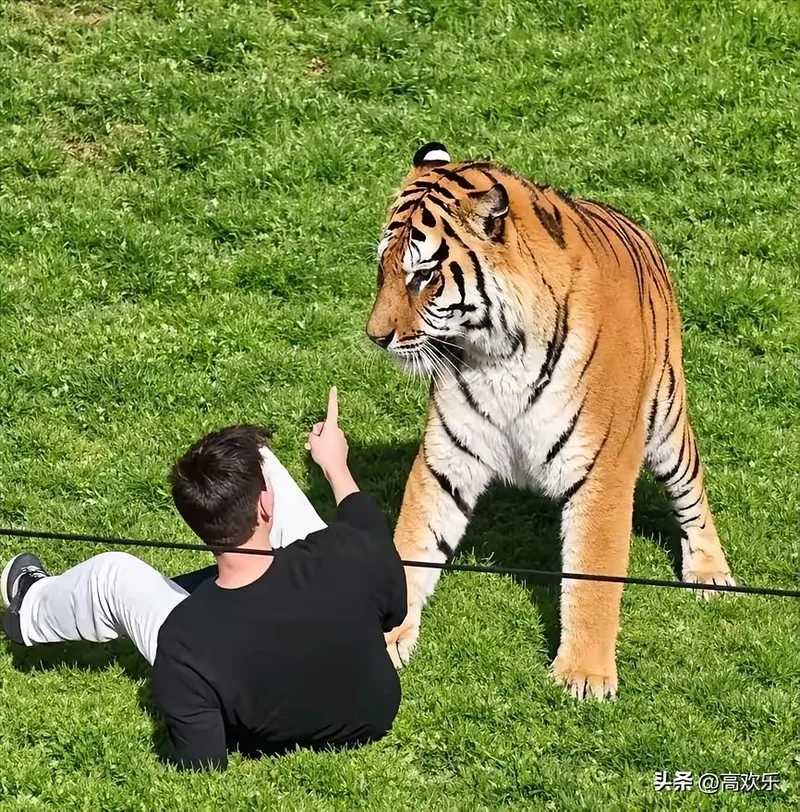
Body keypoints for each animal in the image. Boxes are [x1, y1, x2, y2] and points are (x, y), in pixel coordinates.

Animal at [365, 142, 735, 700]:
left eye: (424, 276)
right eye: (383, 269)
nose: (375, 337)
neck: (498, 355)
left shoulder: (602, 470)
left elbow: (592, 574)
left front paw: (583, 675)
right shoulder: (446, 460)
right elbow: (414, 544)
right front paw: (384, 639)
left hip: (667, 420)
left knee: (691, 493)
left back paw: (710, 573)